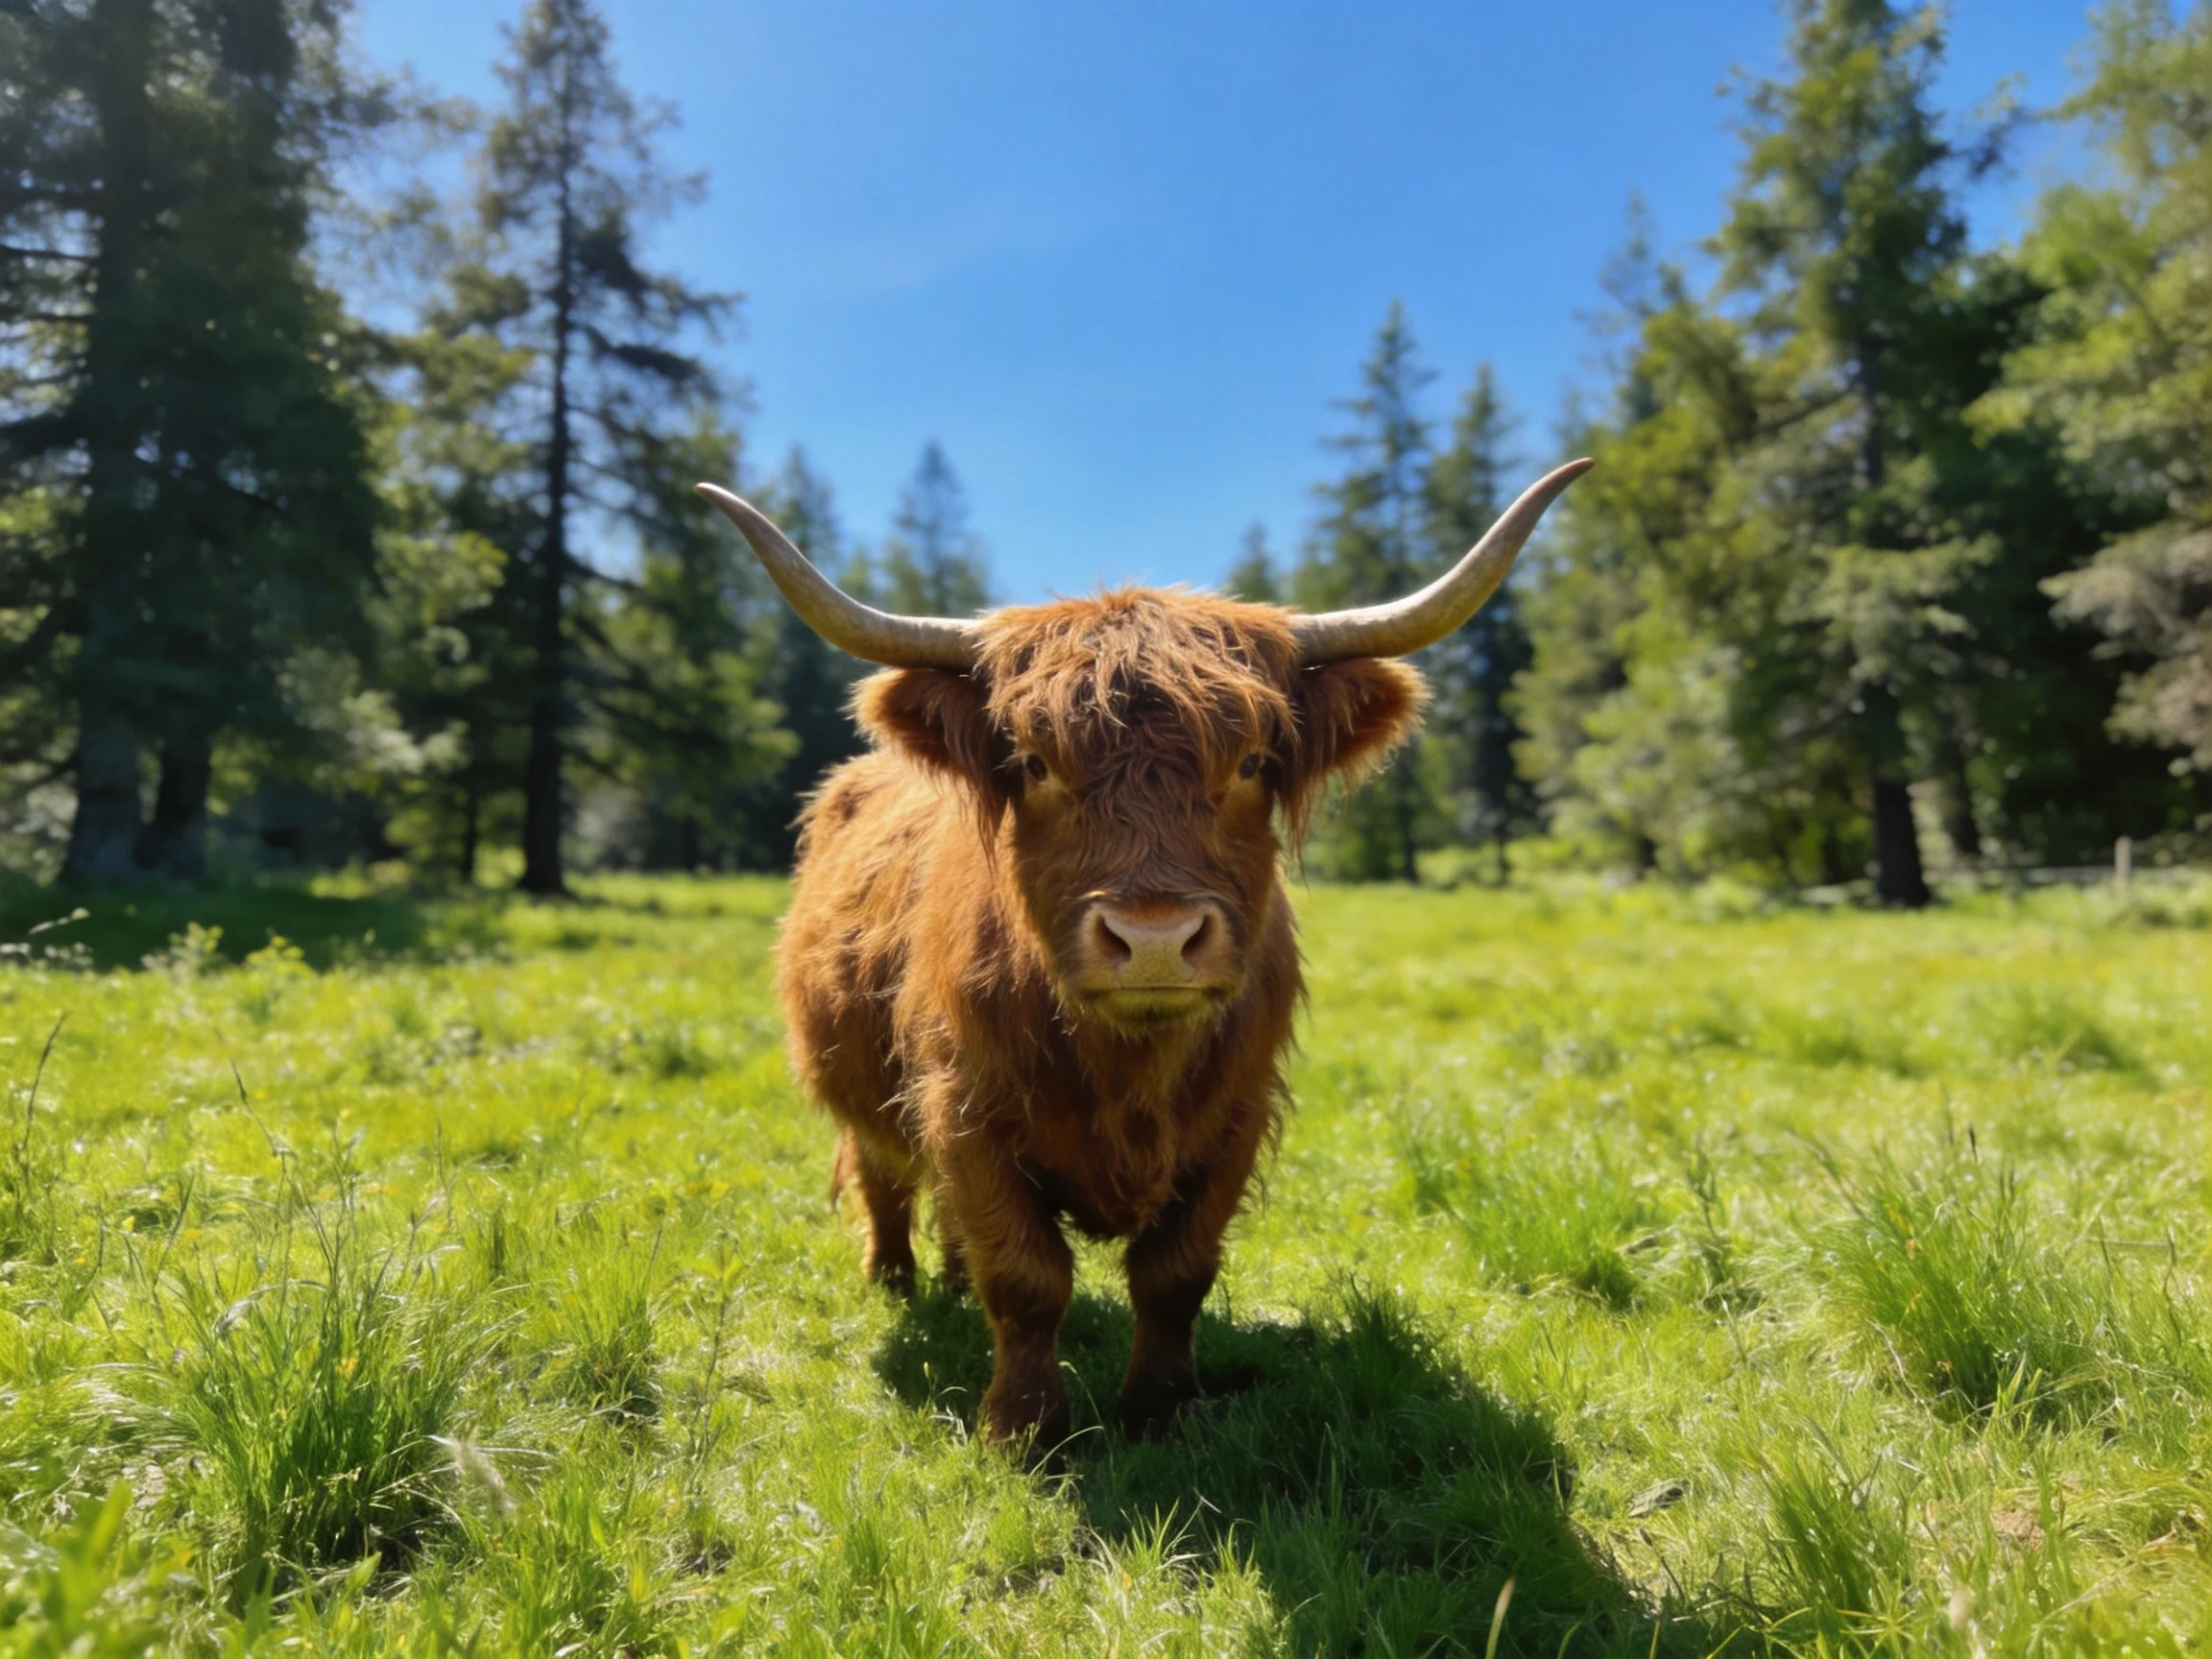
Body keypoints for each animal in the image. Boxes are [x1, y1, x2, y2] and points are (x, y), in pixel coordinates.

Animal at [698, 459, 1590, 1454]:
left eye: (1251, 762)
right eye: (1034, 762)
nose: (1155, 937)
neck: (1129, 1068)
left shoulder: (1236, 1116)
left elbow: (1174, 1271)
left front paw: (1160, 1411)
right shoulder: (965, 1106)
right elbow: (1027, 1276)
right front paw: (1025, 1429)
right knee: (882, 1176)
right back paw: (895, 1283)